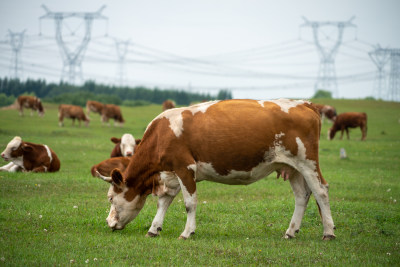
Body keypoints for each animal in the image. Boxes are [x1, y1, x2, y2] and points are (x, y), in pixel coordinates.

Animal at [95, 99, 336, 242]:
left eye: (110, 198)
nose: (108, 222)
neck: (162, 132)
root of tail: (304, 103)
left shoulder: (185, 167)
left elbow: (189, 203)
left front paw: (187, 232)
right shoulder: (170, 174)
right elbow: (164, 201)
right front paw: (154, 228)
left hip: (307, 162)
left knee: (321, 191)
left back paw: (328, 232)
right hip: (292, 167)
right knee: (302, 196)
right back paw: (291, 231)